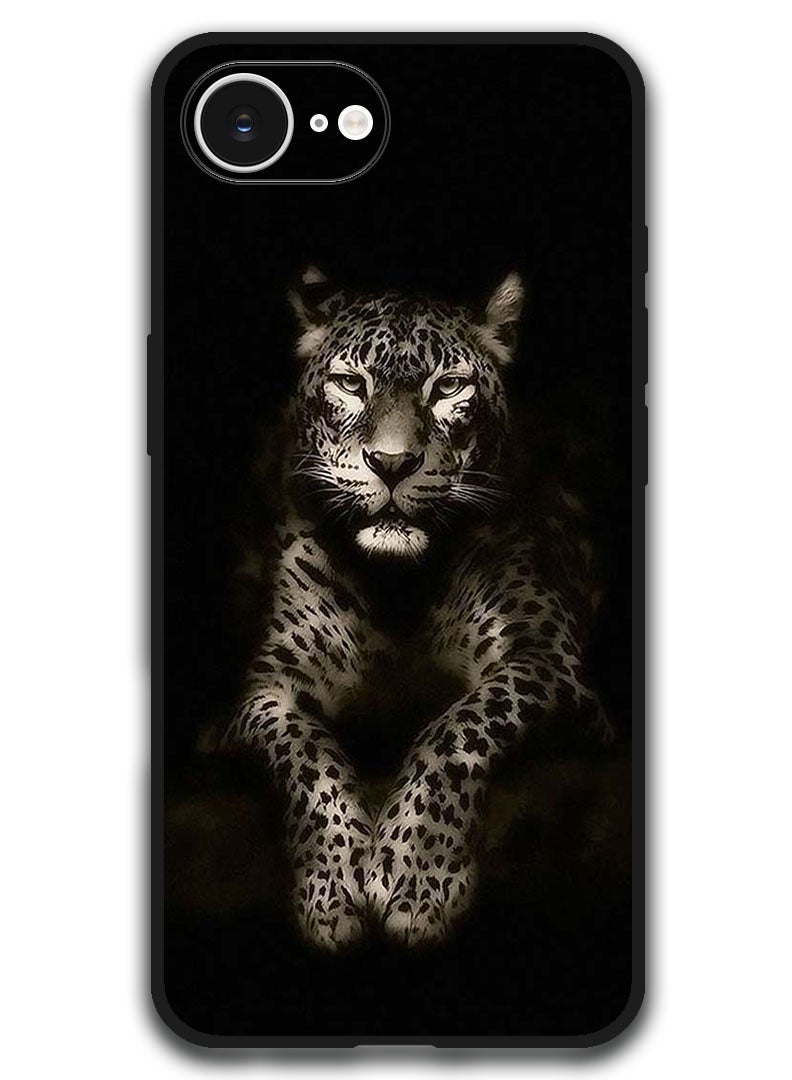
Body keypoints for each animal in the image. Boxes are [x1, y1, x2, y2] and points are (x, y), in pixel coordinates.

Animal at [221, 266, 611, 950]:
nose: (393, 463)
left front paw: (416, 874)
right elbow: (306, 754)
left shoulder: (547, 658)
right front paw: (332, 887)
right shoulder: (267, 688)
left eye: (448, 387)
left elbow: (458, 726)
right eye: (352, 384)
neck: (398, 588)